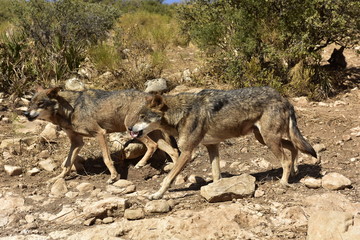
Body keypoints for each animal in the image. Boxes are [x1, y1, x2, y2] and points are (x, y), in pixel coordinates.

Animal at [23, 87, 179, 183]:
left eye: (40, 103)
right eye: (30, 104)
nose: (25, 114)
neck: (70, 109)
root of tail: (150, 95)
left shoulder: (100, 133)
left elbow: (106, 159)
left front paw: (114, 176)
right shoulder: (77, 142)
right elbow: (67, 164)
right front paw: (57, 178)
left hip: (131, 129)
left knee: (152, 146)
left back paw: (141, 164)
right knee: (173, 150)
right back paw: (175, 169)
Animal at [127, 86, 318, 199]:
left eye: (142, 117)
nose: (129, 128)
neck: (180, 112)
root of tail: (284, 99)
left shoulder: (187, 153)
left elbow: (167, 178)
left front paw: (157, 195)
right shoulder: (212, 146)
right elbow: (216, 174)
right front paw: (218, 190)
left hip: (269, 140)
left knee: (285, 159)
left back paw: (284, 182)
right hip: (264, 139)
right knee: (293, 147)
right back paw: (295, 170)